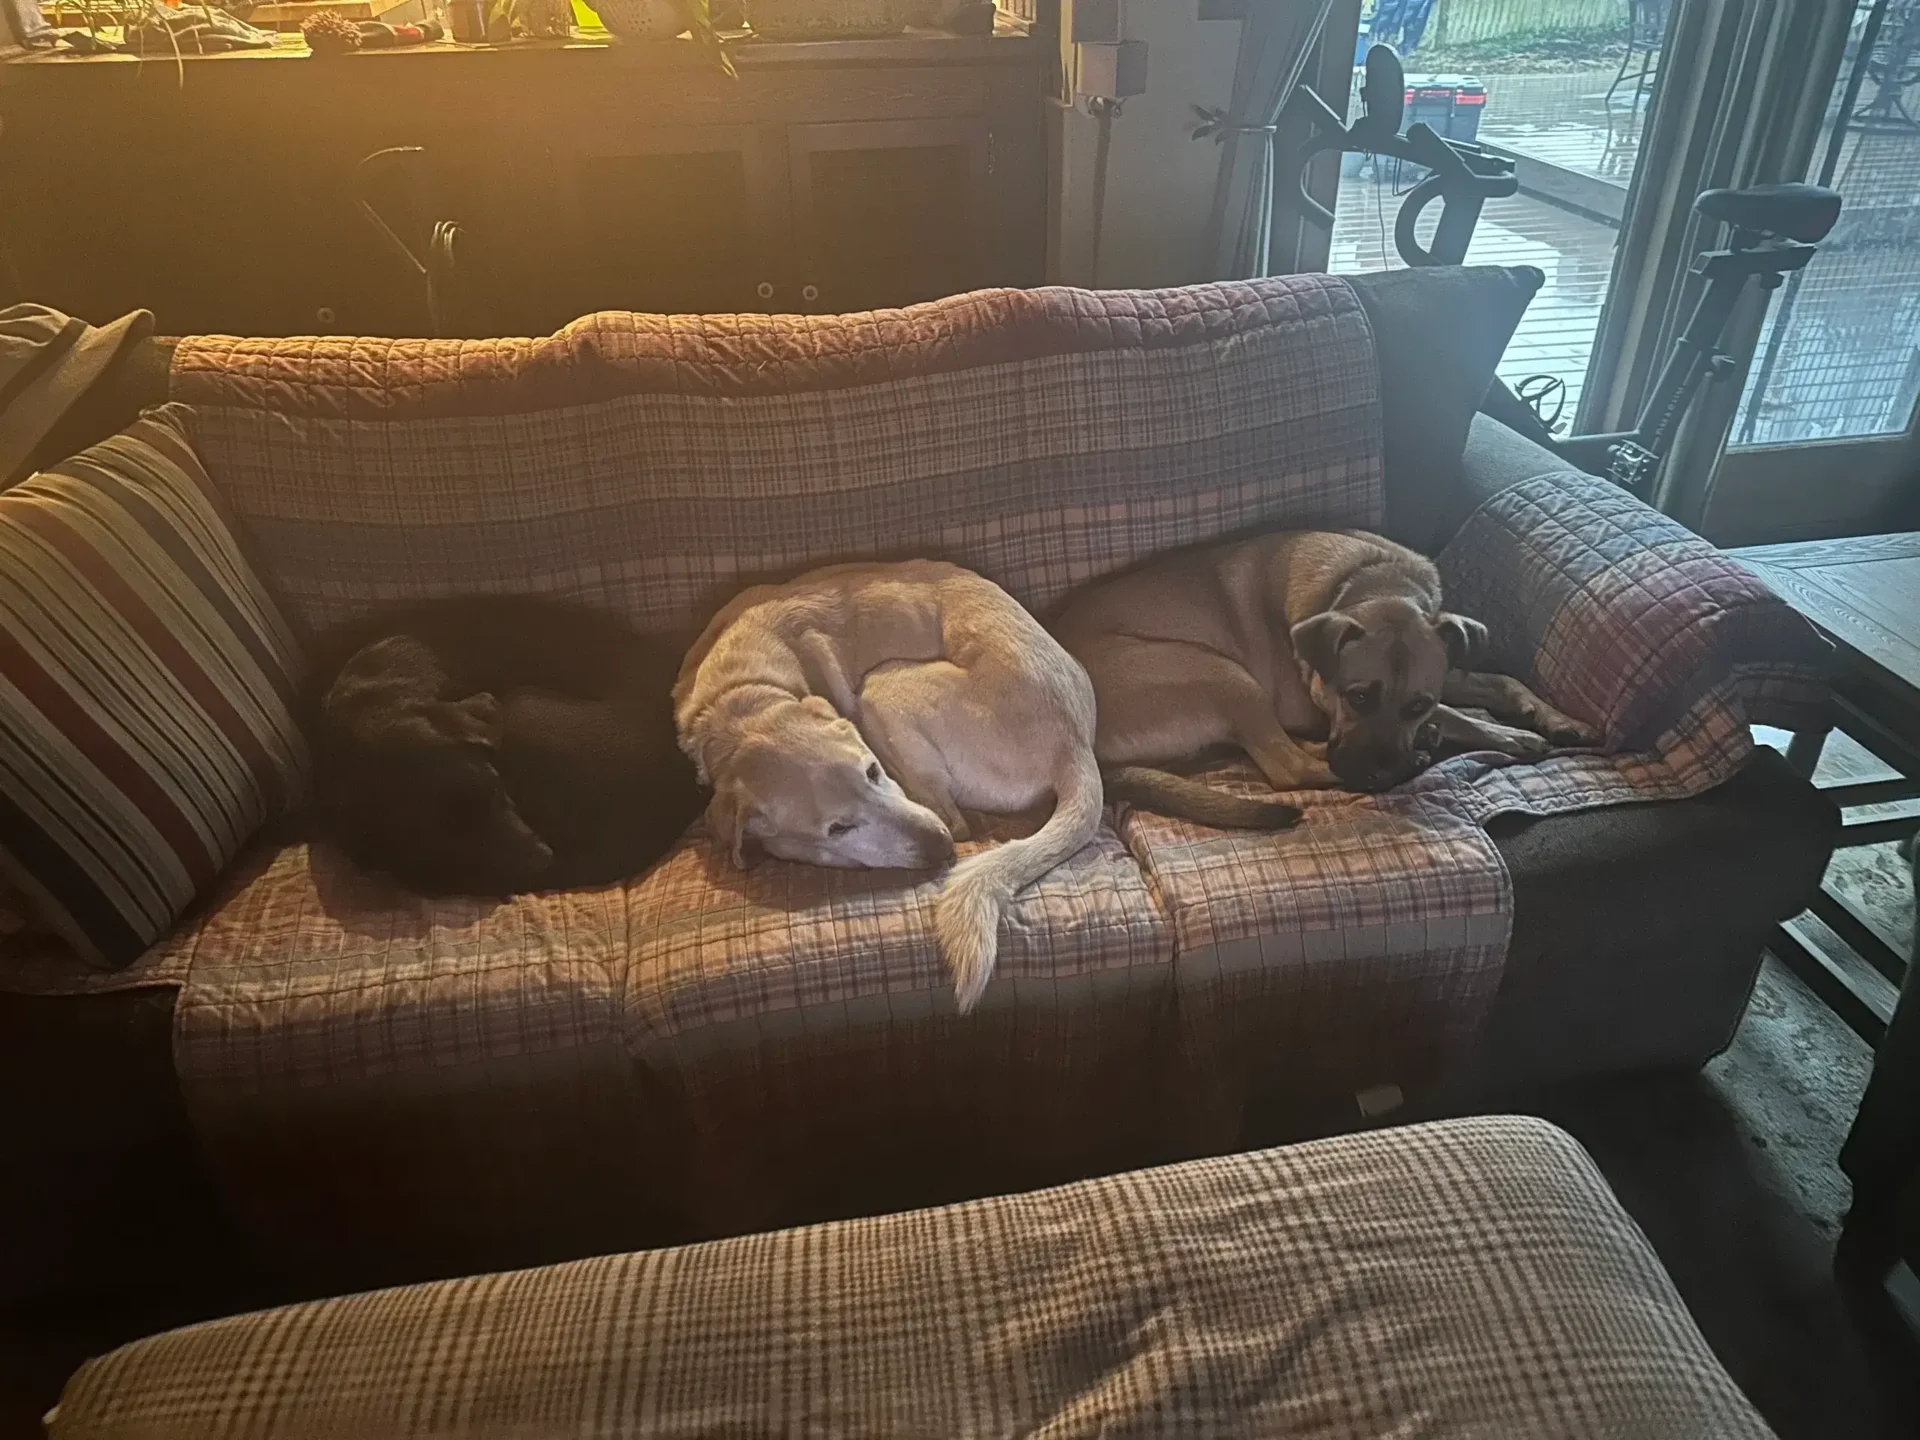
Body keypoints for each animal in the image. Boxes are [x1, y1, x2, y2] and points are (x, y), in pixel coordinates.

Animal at [672, 556, 1098, 1006]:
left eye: (873, 771)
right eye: (837, 828)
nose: (942, 849)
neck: (739, 697)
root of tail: (1074, 746)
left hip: (882, 686)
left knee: (957, 818)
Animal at [1044, 526, 1597, 814]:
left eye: (1414, 704)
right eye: (1358, 697)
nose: (1376, 769)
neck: (1373, 581)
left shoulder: (1445, 668)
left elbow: (1499, 680)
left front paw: (1558, 717)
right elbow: (1459, 713)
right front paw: (1510, 736)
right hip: (1224, 675)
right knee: (1288, 768)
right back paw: (1415, 756)